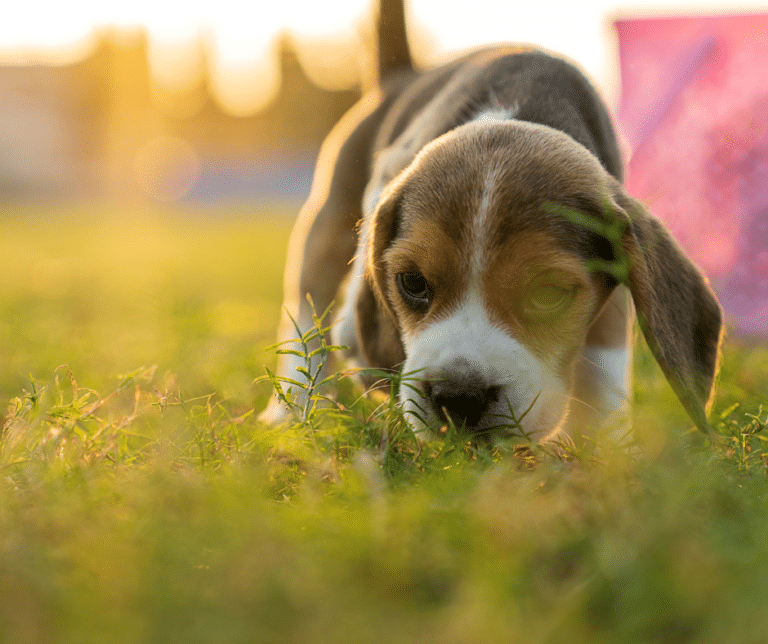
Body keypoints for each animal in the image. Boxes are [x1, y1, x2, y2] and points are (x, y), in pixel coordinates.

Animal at [260, 1, 724, 442]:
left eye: (548, 293)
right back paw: (291, 412)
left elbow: (605, 365)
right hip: (327, 228)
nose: (458, 397)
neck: (516, 110)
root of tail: (401, 75)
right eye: (412, 283)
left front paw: (606, 448)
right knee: (306, 319)